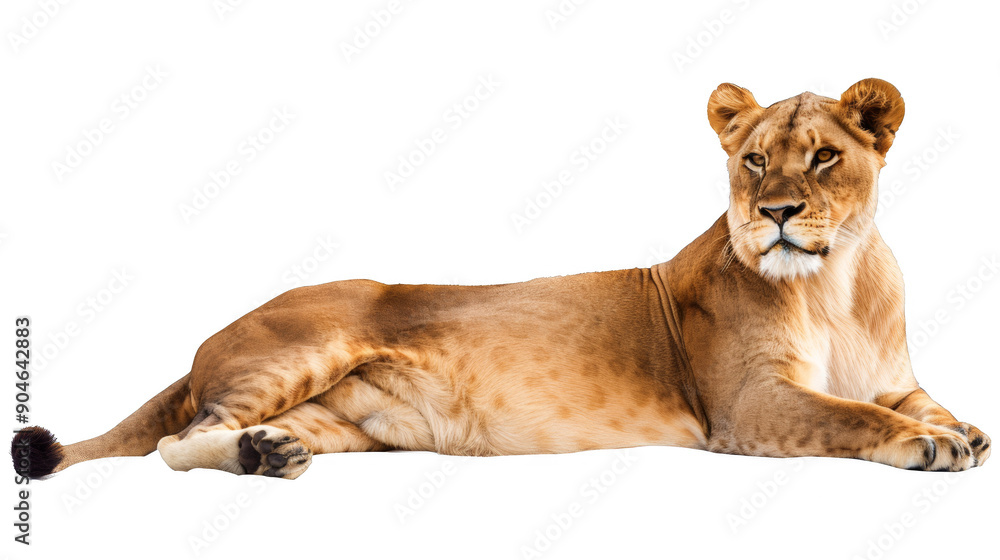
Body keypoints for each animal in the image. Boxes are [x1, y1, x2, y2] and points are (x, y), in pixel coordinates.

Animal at [12, 79, 990, 481]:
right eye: (753, 161)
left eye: (823, 157)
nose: (776, 213)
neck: (838, 286)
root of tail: (205, 340)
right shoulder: (746, 407)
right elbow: (853, 417)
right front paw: (930, 447)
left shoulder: (896, 376)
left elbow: (923, 402)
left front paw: (963, 431)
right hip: (301, 350)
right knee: (177, 443)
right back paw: (257, 457)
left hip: (348, 425)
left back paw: (271, 452)